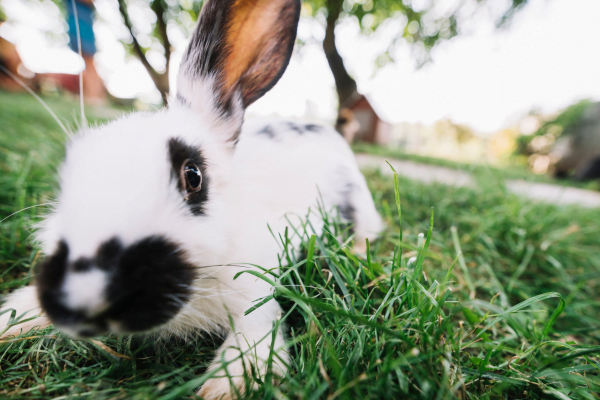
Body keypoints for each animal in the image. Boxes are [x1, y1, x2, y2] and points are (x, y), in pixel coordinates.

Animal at [0, 0, 382, 398]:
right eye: (66, 176)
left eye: (193, 176)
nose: (85, 297)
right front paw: (11, 320)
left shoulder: (256, 293)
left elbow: (258, 329)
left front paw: (228, 385)